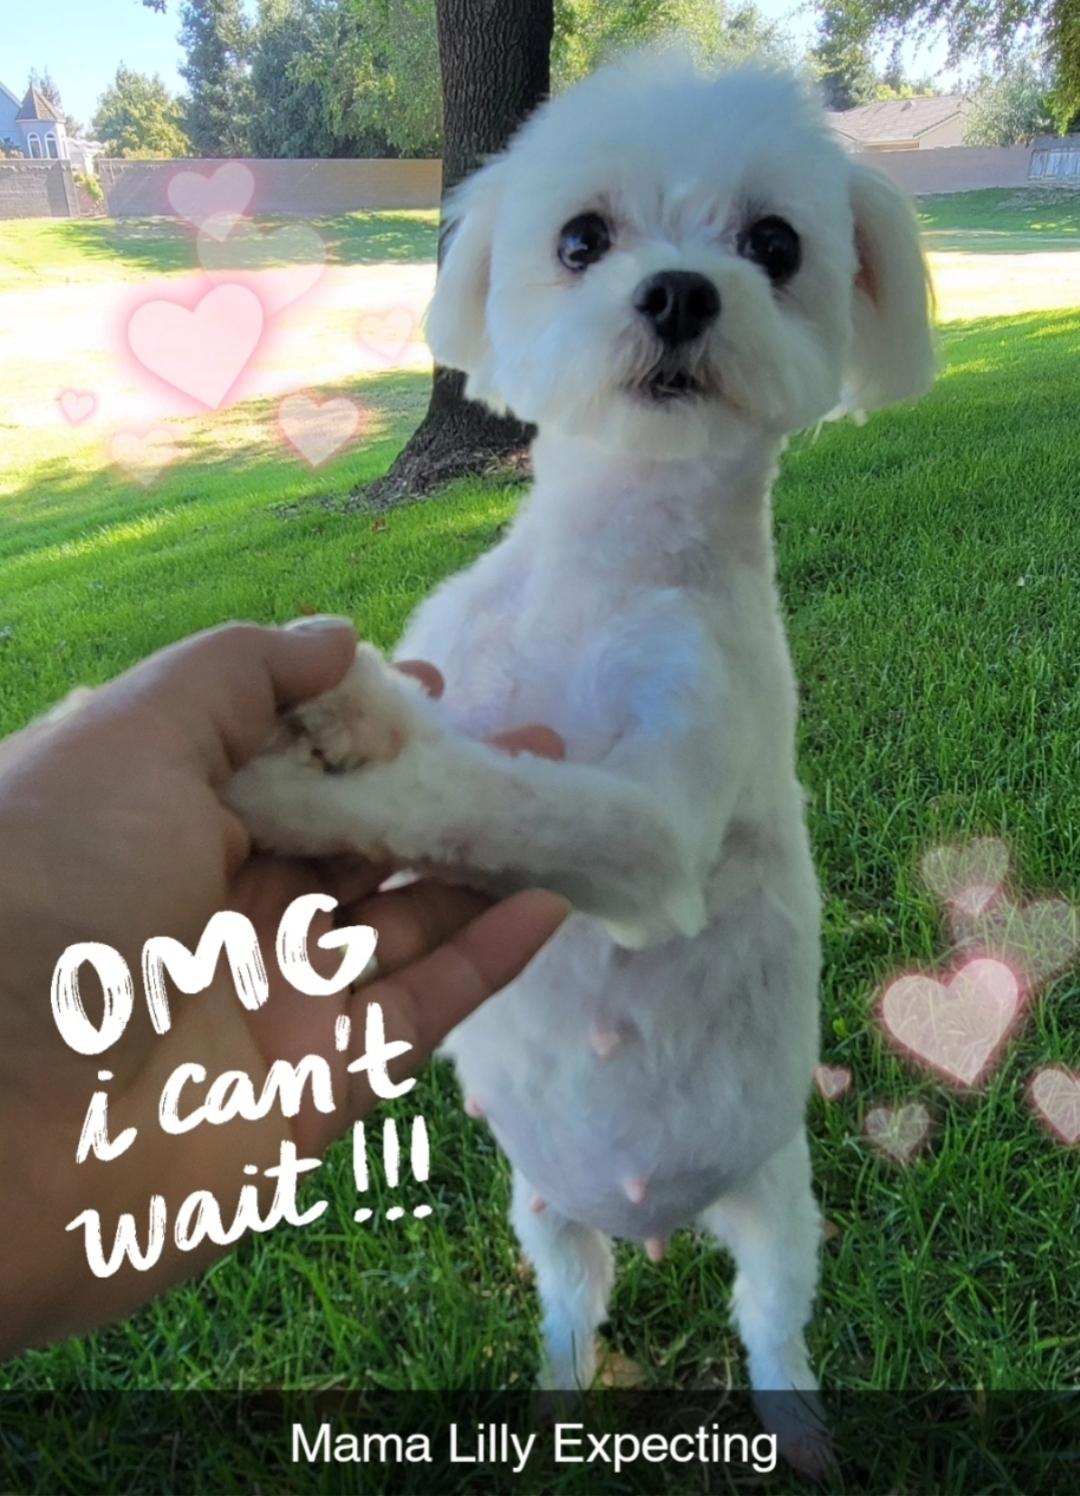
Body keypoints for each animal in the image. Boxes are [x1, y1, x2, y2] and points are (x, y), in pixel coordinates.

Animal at [227, 49, 934, 1469]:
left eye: (775, 244)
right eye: (581, 240)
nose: (678, 291)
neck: (608, 562)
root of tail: (654, 1215)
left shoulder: (655, 818)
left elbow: (511, 800)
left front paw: (300, 787)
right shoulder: (467, 659)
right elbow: (447, 733)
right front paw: (347, 708)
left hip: (780, 1211)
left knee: (772, 1325)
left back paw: (802, 1431)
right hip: (545, 1217)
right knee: (569, 1310)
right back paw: (555, 1394)